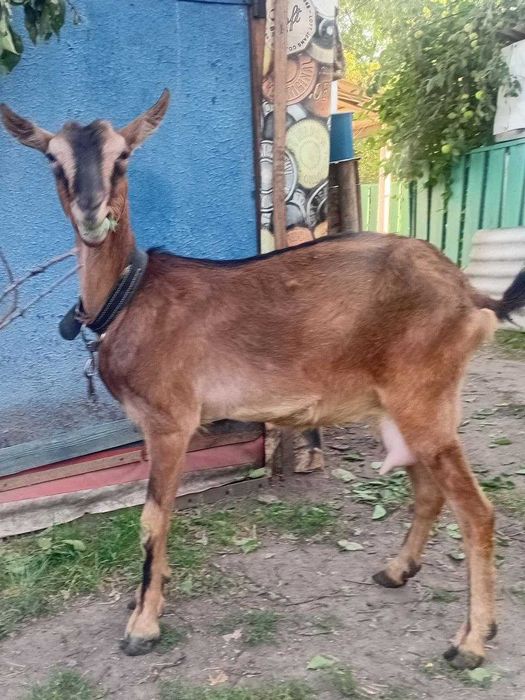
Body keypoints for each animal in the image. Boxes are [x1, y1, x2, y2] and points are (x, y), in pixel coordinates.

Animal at [2, 91, 525, 669]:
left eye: (123, 157)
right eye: (53, 159)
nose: (93, 214)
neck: (131, 296)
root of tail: (470, 295)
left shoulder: (172, 421)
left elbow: (152, 518)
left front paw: (143, 624)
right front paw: (153, 594)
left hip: (425, 399)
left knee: (477, 512)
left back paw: (471, 641)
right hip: (399, 407)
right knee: (429, 491)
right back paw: (396, 571)